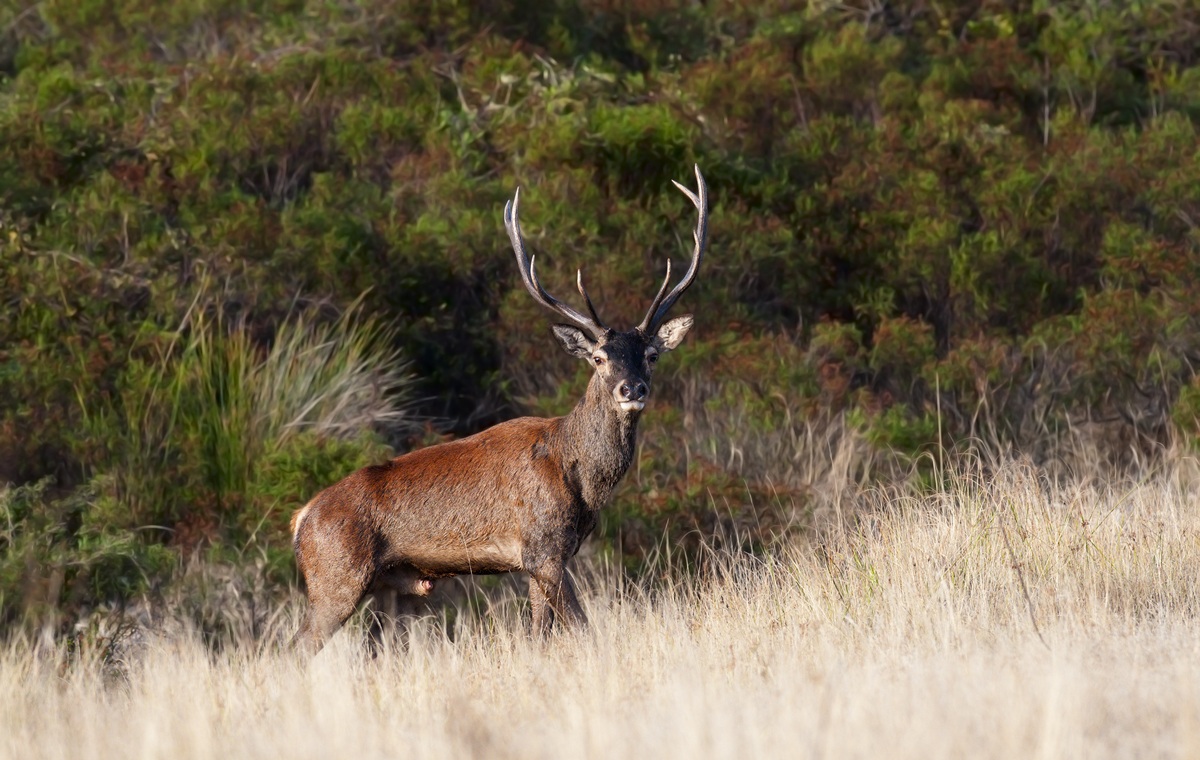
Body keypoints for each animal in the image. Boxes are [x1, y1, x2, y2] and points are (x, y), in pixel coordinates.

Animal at [289, 166, 708, 654]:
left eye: (653, 355)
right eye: (598, 358)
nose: (632, 387)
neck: (580, 478)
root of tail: (301, 519)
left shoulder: (545, 558)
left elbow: (552, 633)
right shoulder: (542, 549)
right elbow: (571, 630)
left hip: (390, 588)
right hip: (335, 577)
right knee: (295, 646)